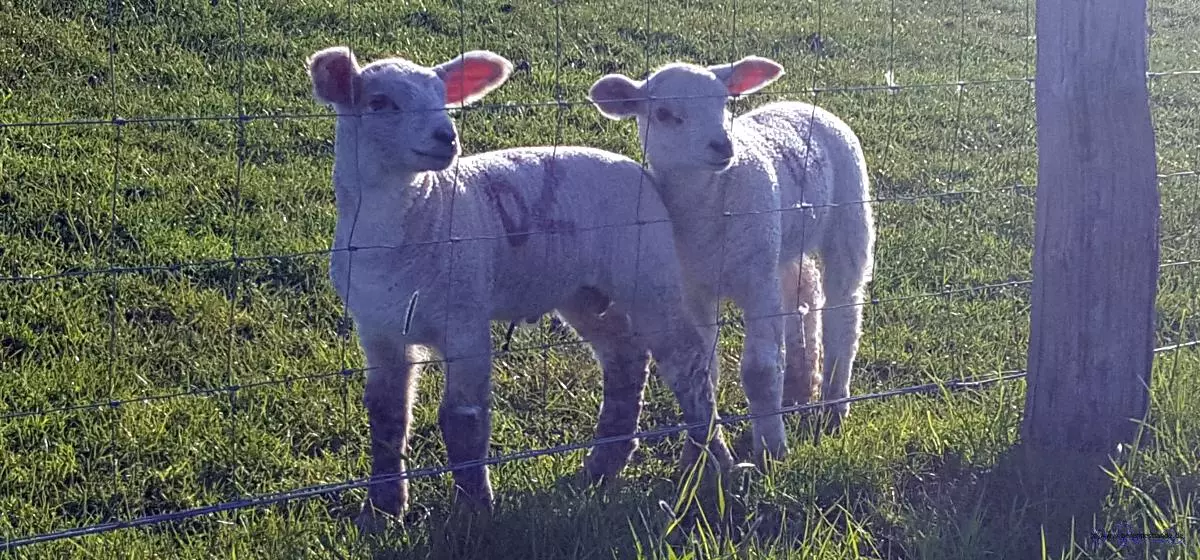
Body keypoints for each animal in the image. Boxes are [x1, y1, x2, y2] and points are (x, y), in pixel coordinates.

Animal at [306, 46, 733, 528]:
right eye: (379, 103)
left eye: (443, 98)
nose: (446, 137)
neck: (411, 223)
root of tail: (641, 172)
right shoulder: (377, 329)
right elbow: (385, 415)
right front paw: (381, 511)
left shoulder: (465, 316)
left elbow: (463, 418)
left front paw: (474, 512)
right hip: (582, 291)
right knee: (625, 359)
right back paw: (603, 466)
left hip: (648, 271)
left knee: (686, 361)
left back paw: (712, 463)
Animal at [588, 56, 875, 453]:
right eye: (663, 113)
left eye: (724, 102)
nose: (722, 146)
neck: (706, 208)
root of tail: (802, 104)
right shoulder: (694, 290)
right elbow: (704, 369)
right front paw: (706, 440)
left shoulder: (756, 283)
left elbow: (759, 370)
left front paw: (771, 448)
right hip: (781, 241)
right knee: (804, 290)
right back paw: (800, 386)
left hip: (849, 215)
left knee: (843, 309)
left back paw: (834, 404)